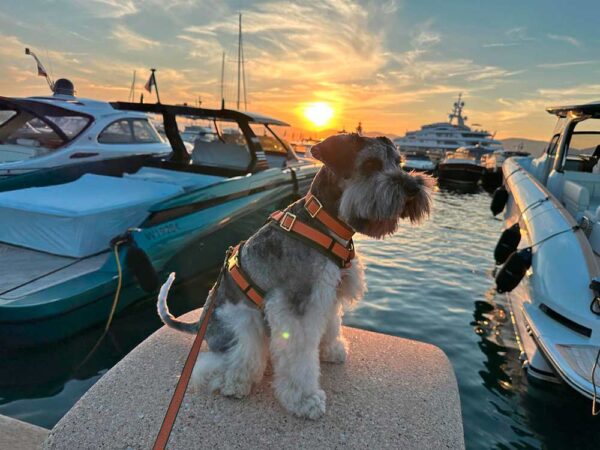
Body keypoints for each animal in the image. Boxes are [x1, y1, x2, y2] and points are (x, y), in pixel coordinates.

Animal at [157, 133, 434, 418]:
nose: (413, 187)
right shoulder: (297, 305)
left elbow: (331, 324)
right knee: (222, 361)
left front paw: (332, 350)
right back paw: (233, 383)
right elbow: (299, 358)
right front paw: (305, 399)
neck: (324, 222)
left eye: (398, 162)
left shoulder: (327, 293)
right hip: (242, 321)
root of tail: (198, 325)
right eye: (370, 165)